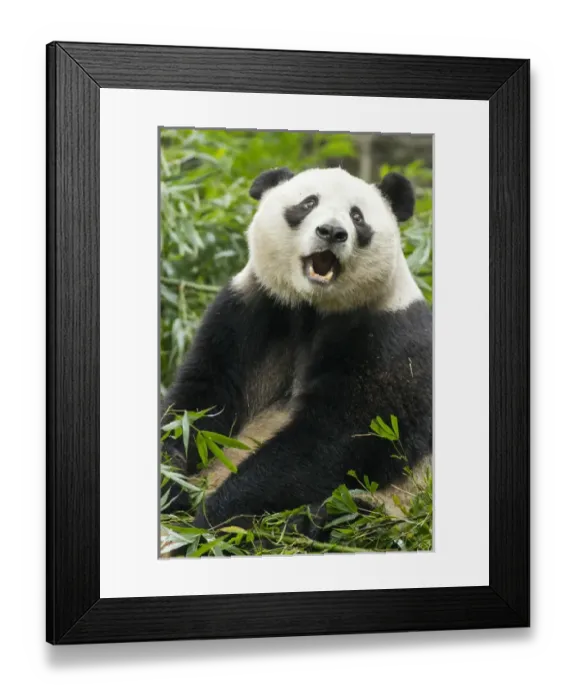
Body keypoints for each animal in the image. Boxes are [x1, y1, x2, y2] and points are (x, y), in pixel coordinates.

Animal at [161, 166, 432, 537]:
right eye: (308, 203)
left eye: (357, 216)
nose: (332, 232)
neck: (313, 307)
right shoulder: (253, 309)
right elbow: (199, 404)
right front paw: (171, 483)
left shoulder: (389, 337)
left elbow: (336, 437)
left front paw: (215, 517)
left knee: (348, 515)